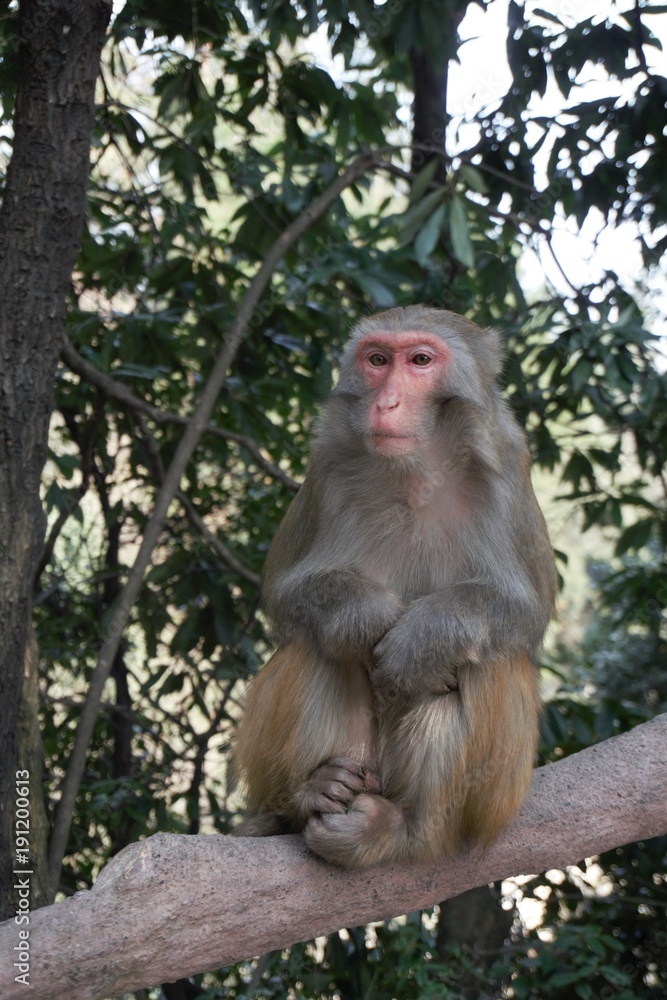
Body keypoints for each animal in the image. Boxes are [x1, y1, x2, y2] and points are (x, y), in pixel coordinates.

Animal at [233, 306, 557, 869]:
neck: (415, 474)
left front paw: (420, 641)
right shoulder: (327, 470)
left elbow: (524, 611)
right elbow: (287, 593)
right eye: (378, 360)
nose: (386, 402)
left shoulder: (507, 471)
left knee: (487, 662)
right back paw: (311, 793)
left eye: (421, 360)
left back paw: (407, 830)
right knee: (316, 645)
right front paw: (371, 619)